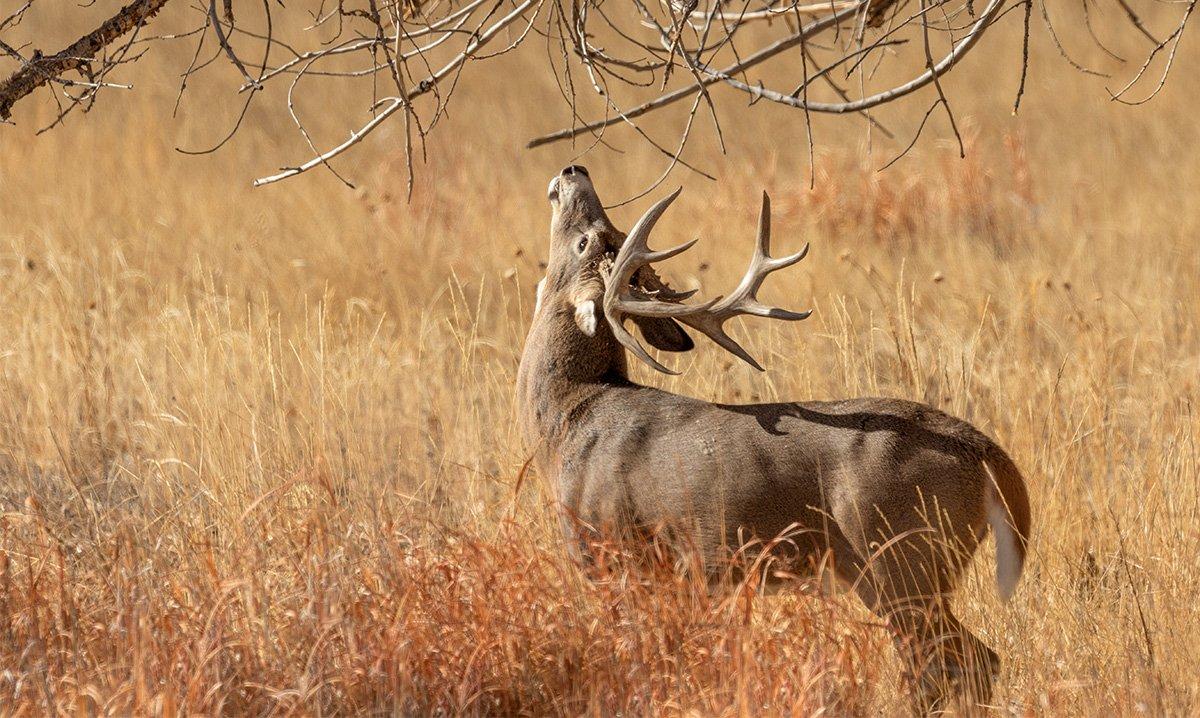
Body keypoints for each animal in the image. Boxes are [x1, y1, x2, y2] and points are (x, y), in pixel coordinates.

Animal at [516, 165, 1032, 710]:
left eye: (587, 240)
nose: (573, 170)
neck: (568, 421)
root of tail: (984, 451)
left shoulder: (608, 550)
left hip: (900, 559)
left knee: (955, 664)